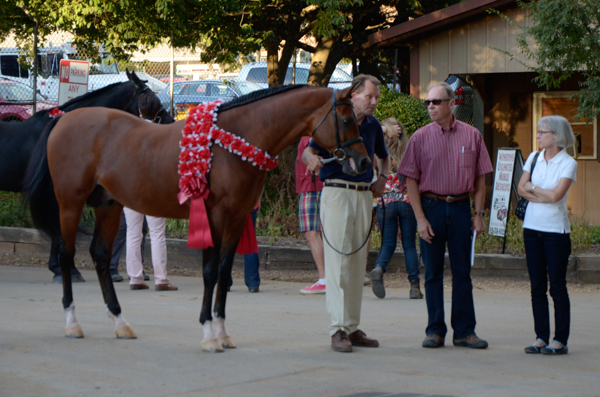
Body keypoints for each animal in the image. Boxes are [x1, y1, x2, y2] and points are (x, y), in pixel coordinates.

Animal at [25, 83, 370, 350]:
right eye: (345, 119)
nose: (364, 162)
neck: (237, 140)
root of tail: (63, 119)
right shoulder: (215, 217)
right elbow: (209, 272)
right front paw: (208, 335)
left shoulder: (236, 219)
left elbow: (223, 271)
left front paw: (223, 333)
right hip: (70, 203)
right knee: (67, 255)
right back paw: (72, 323)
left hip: (108, 205)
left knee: (99, 256)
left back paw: (120, 322)